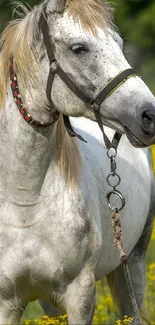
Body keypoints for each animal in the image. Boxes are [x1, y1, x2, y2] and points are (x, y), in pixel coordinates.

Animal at [0, 0, 155, 322]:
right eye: (78, 48)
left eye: (119, 44)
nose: (150, 115)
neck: (24, 201)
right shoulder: (6, 303)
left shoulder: (80, 295)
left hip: (133, 265)